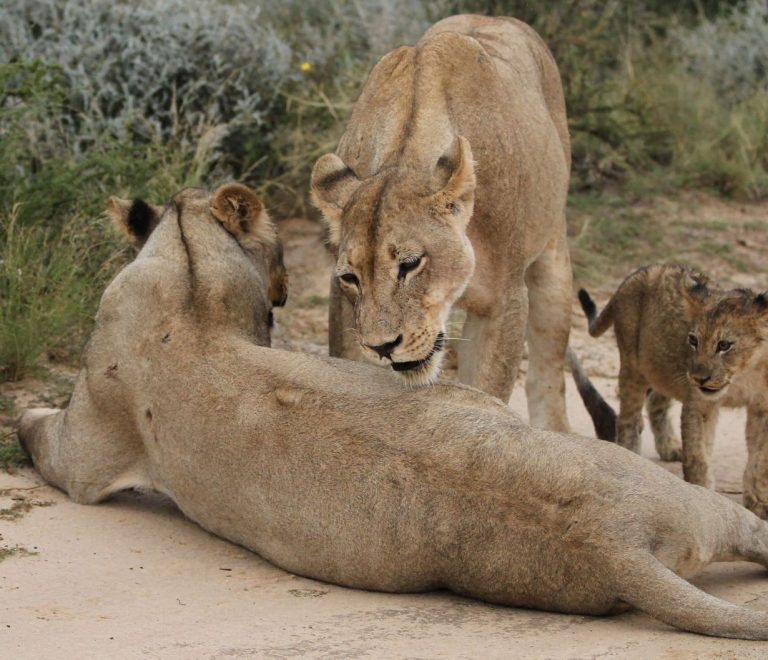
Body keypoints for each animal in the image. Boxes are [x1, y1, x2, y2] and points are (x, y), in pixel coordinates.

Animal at [310, 14, 573, 431]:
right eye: (350, 277)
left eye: (411, 264)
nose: (383, 347)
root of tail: (497, 17)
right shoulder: (345, 309)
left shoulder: (505, 302)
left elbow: (488, 394)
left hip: (553, 257)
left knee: (547, 369)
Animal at [575, 263, 768, 517]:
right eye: (693, 340)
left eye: (724, 345)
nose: (698, 378)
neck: (743, 374)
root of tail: (636, 274)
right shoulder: (699, 403)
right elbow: (697, 455)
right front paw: (703, 493)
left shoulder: (762, 407)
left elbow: (759, 460)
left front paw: (758, 504)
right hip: (633, 365)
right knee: (627, 420)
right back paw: (632, 458)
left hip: (663, 372)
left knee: (655, 403)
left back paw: (669, 448)